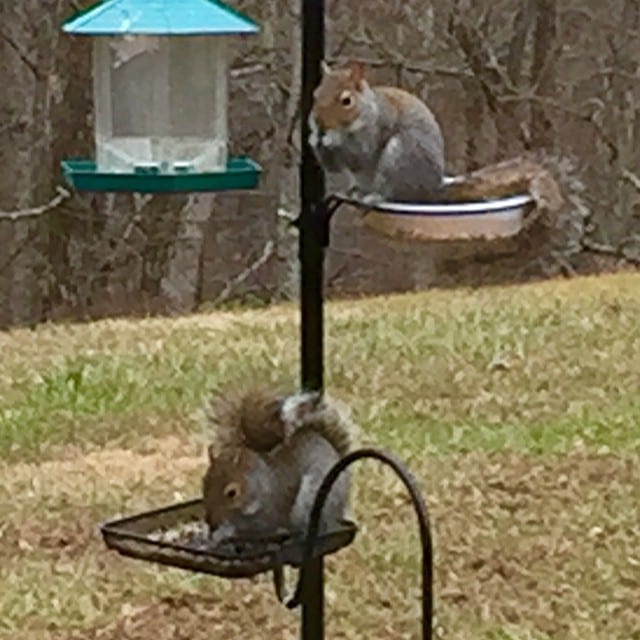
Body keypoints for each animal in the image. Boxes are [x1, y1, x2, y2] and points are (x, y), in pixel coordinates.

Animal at [202, 384, 358, 544]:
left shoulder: (270, 511)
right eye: (204, 483)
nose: (210, 522)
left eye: (232, 493)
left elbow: (251, 529)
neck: (259, 484)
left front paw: (223, 534)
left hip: (315, 503)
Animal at [310, 59, 444, 204]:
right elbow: (332, 165)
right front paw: (314, 138)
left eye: (347, 101)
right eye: (315, 95)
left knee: (396, 193)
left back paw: (374, 196)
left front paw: (332, 138)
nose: (320, 125)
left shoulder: (374, 132)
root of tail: (435, 189)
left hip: (401, 158)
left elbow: (359, 155)